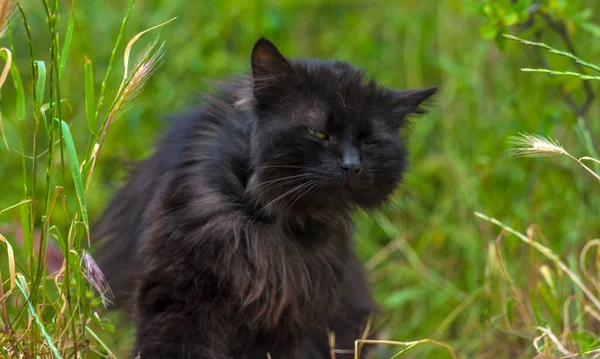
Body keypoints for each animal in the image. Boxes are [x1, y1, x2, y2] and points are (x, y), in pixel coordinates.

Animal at [94, 37, 436, 359]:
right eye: (318, 133)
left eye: (370, 141)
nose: (351, 165)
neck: (265, 219)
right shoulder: (177, 296)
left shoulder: (288, 317)